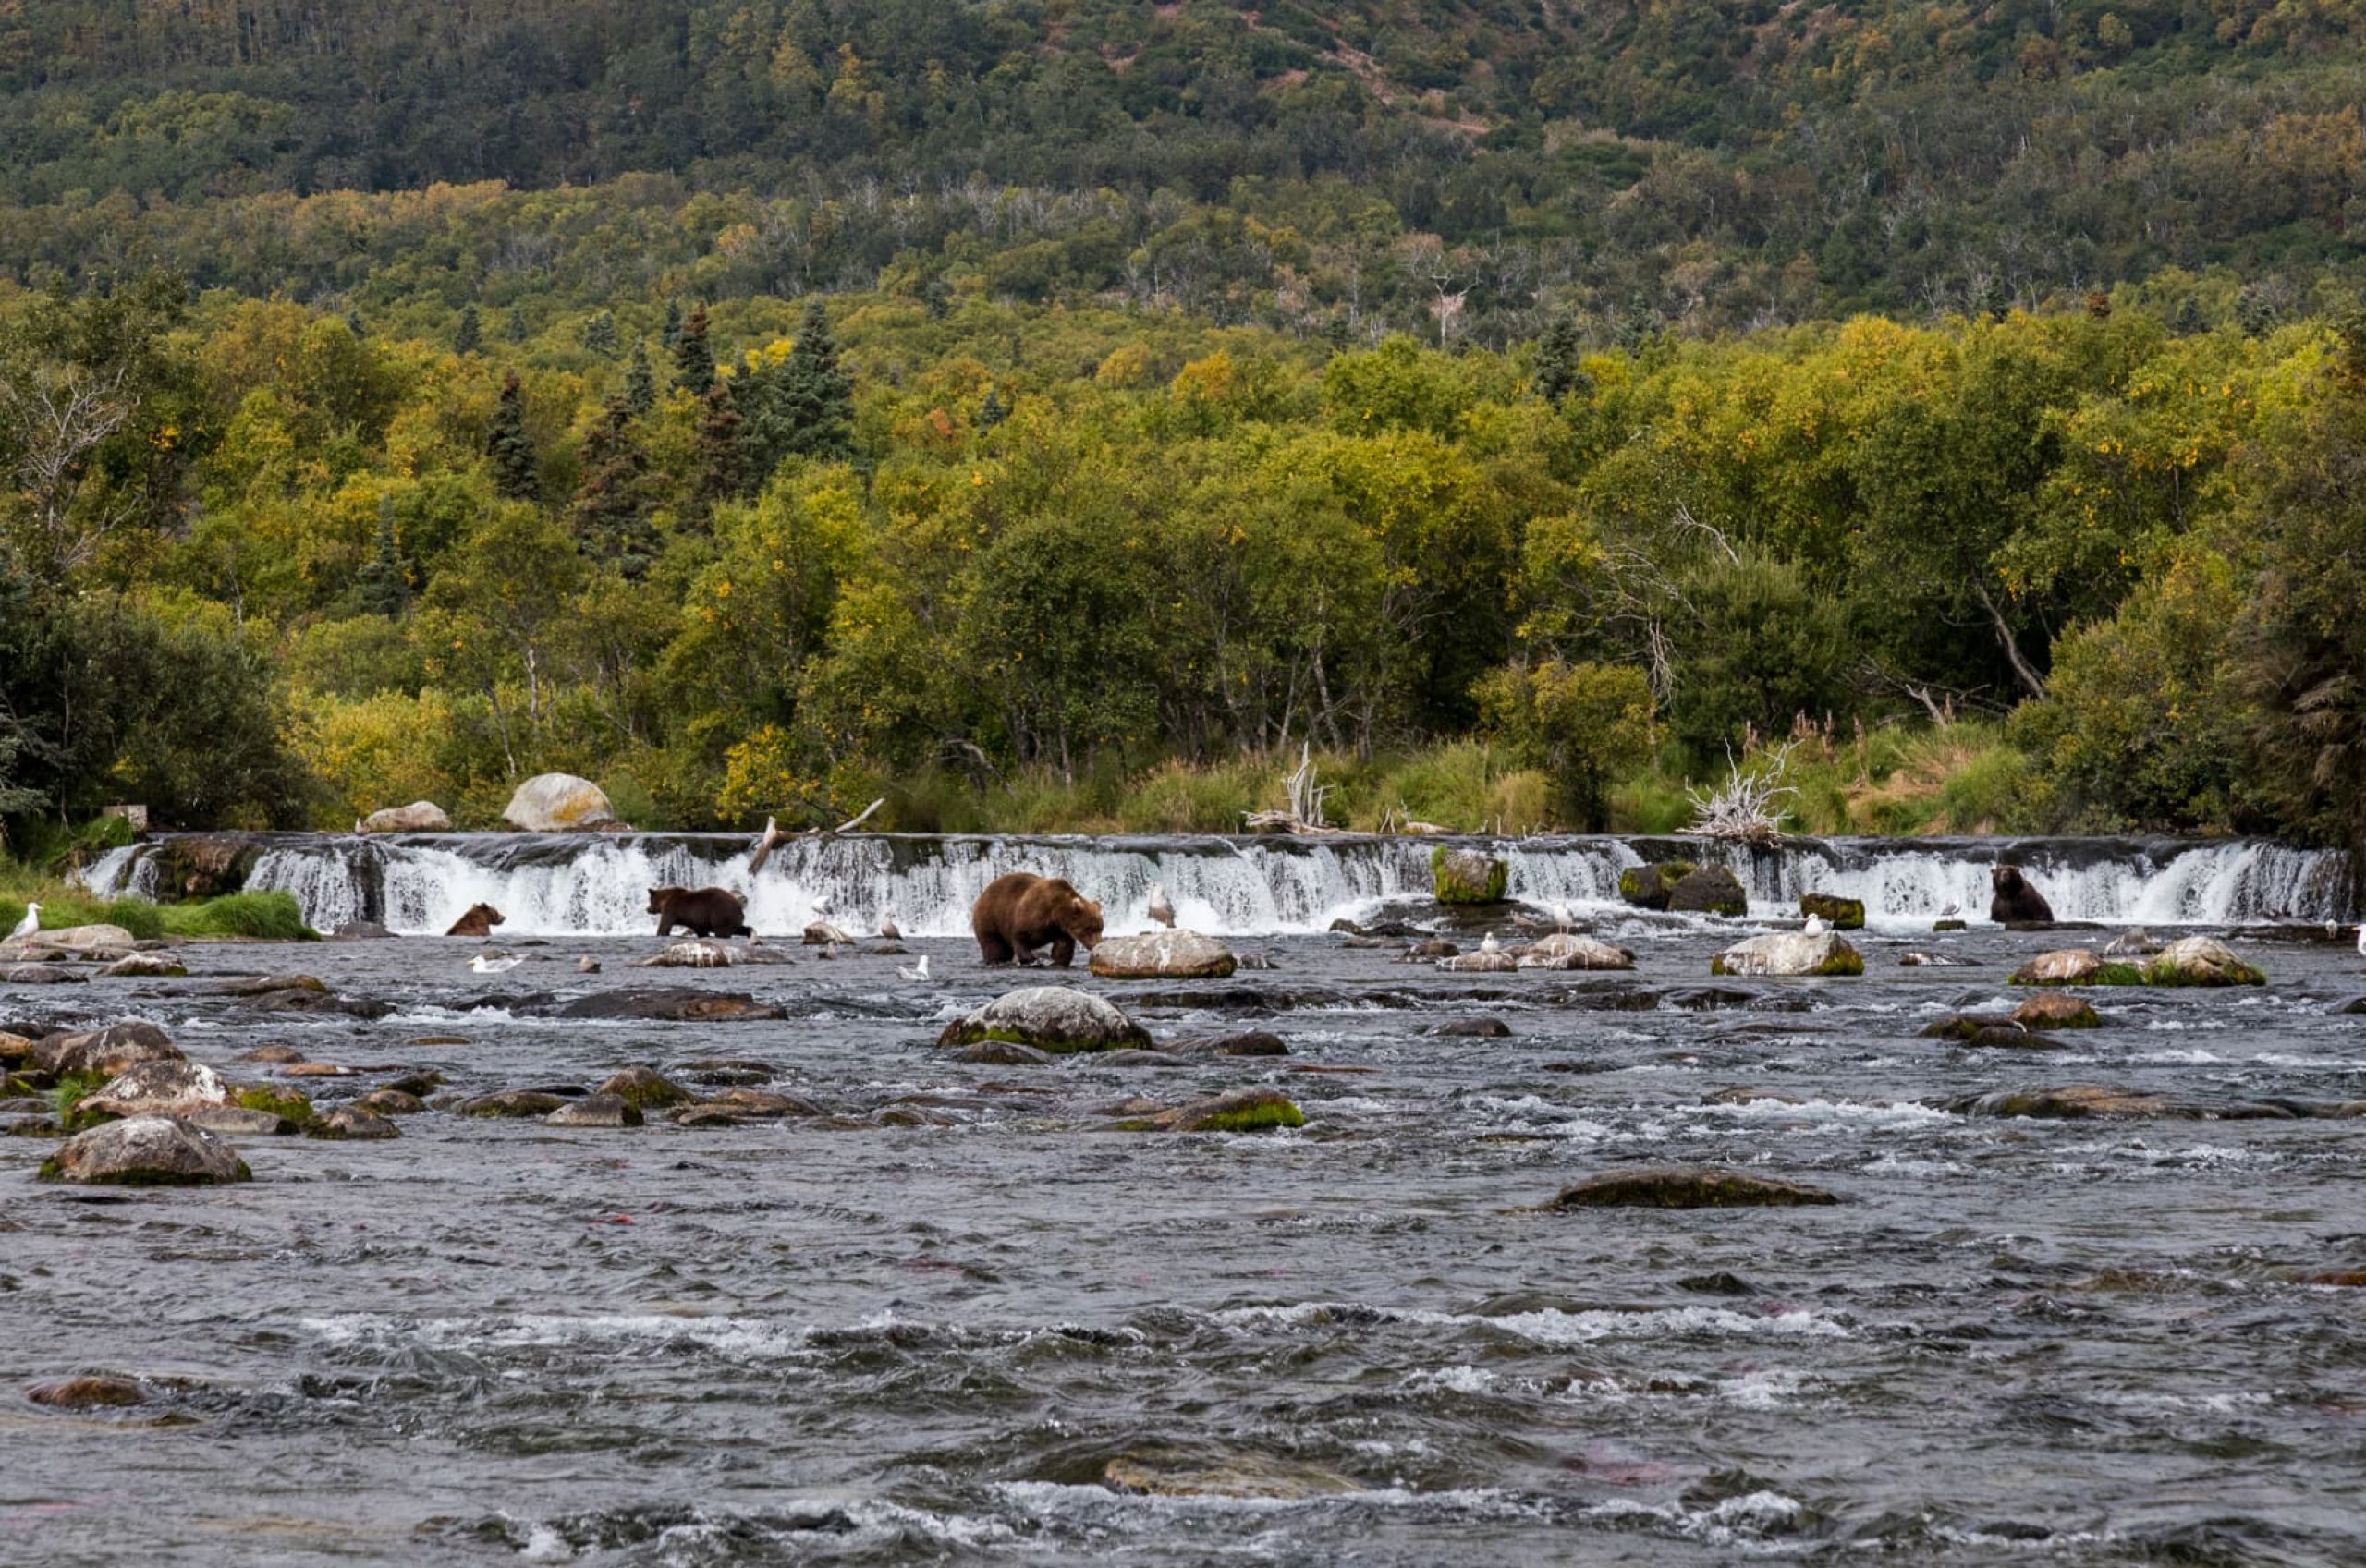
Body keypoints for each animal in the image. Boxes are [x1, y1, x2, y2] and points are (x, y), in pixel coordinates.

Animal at [965, 869, 1102, 969]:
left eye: (1100, 928)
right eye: (1090, 928)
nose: (1097, 944)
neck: (1055, 914)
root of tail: (982, 894)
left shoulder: (1061, 931)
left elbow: (1062, 948)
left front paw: (1057, 962)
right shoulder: (1032, 916)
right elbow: (1020, 938)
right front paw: (1034, 960)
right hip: (991, 917)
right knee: (993, 944)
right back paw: (996, 961)